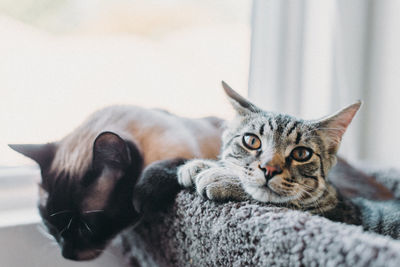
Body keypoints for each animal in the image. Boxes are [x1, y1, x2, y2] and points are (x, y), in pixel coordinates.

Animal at [9, 106, 223, 262]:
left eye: (86, 228)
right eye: (49, 224)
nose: (67, 255)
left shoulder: (189, 152)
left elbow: (177, 163)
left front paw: (143, 195)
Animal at [179, 82, 400, 240]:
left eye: (301, 154)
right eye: (251, 141)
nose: (269, 168)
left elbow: (279, 201)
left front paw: (222, 177)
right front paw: (200, 165)